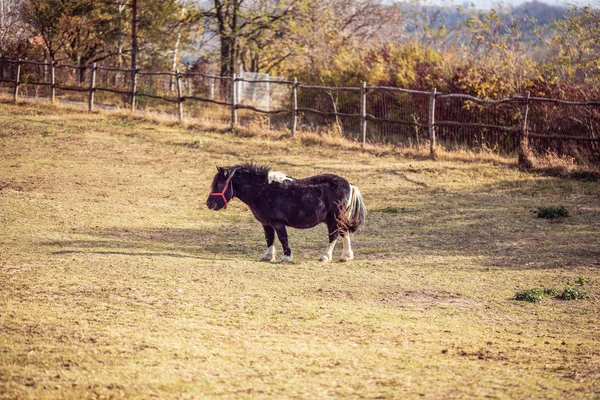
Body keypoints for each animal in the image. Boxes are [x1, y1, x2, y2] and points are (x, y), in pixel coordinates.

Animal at [206, 163, 366, 262]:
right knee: (344, 233)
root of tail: (349, 185)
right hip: (338, 219)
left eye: (219, 184)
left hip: (334, 219)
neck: (263, 190)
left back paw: (325, 256)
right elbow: (269, 238)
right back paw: (345, 256)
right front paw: (268, 256)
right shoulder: (266, 223)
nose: (209, 204)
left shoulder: (277, 222)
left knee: (334, 236)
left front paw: (287, 256)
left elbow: (283, 238)